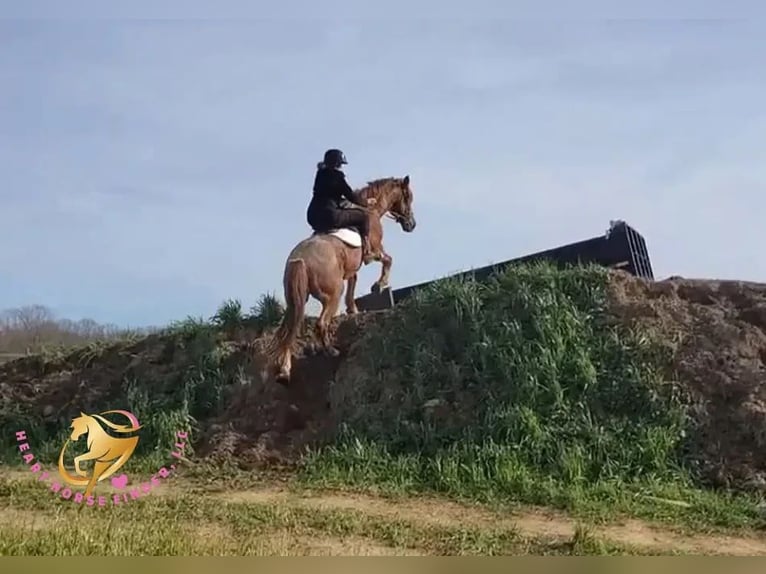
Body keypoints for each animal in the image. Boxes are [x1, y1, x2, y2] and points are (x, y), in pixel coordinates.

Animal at [268, 176, 416, 388]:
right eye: (408, 197)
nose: (411, 224)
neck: (370, 209)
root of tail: (299, 260)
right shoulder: (375, 250)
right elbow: (388, 260)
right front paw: (379, 285)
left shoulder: (351, 267)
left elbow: (353, 283)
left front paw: (353, 309)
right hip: (332, 294)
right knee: (321, 324)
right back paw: (330, 350)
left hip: (296, 301)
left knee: (290, 331)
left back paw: (284, 372)